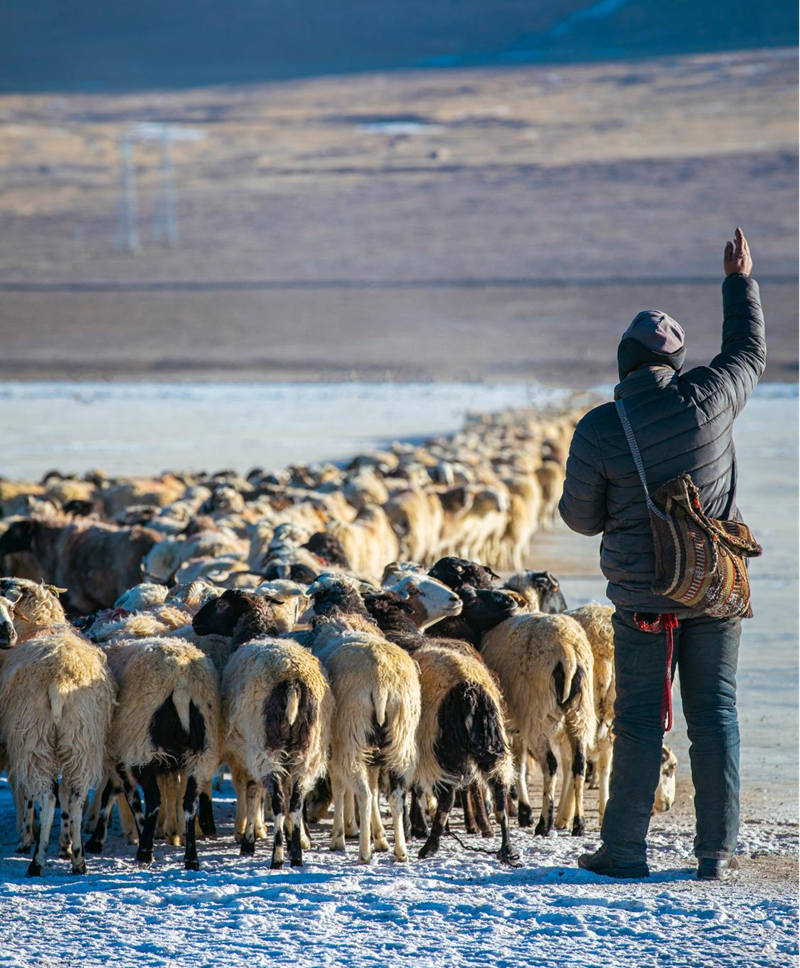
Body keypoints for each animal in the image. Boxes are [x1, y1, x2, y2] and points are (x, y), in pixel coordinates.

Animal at [0, 588, 115, 872]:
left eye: (10, 606)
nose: (7, 635)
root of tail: (59, 680)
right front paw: (65, 845)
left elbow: (27, 795)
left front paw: (26, 838)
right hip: (82, 738)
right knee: (75, 796)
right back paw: (78, 859)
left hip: (35, 737)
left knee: (47, 797)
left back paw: (37, 861)